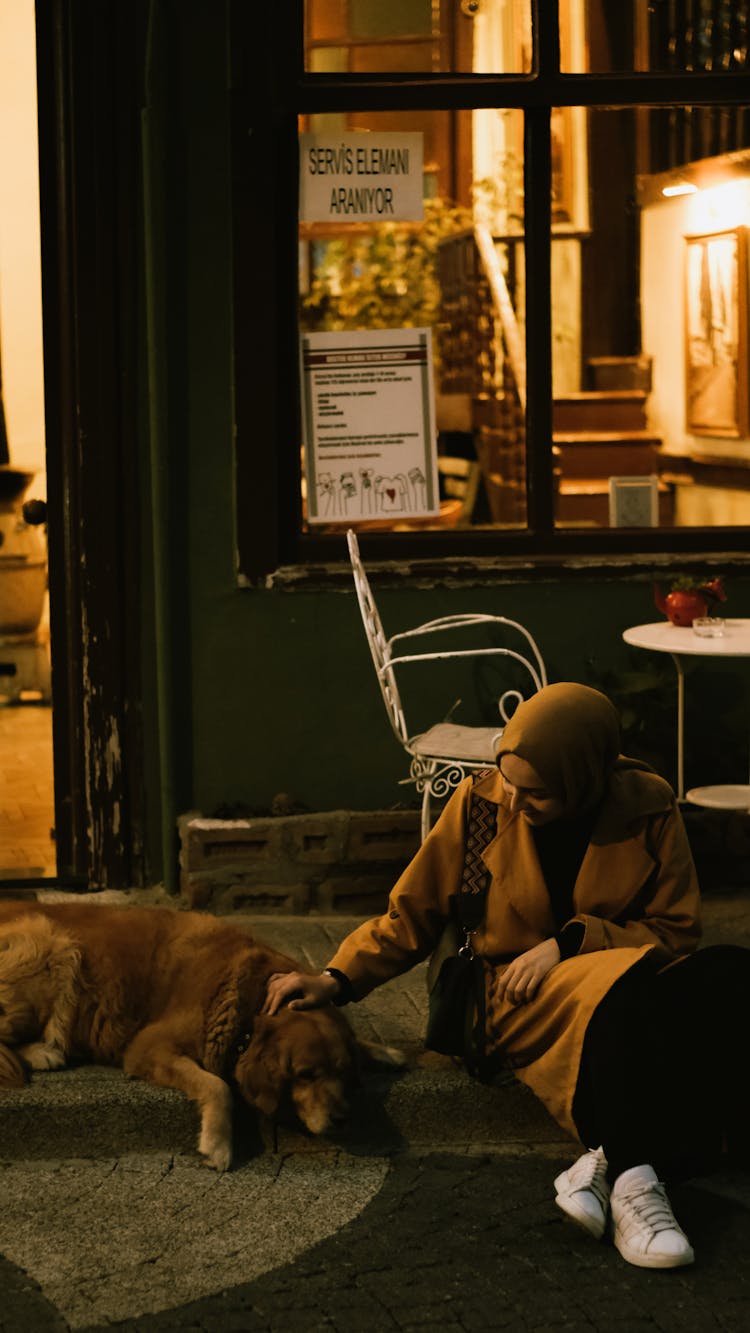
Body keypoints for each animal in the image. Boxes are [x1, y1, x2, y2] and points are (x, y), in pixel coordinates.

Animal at [0, 901, 383, 1173]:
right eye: (305, 1074)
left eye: (343, 1073)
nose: (342, 1119)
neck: (250, 998)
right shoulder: (148, 1047)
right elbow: (218, 1085)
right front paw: (218, 1144)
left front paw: (383, 1050)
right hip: (55, 946)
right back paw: (44, 1052)